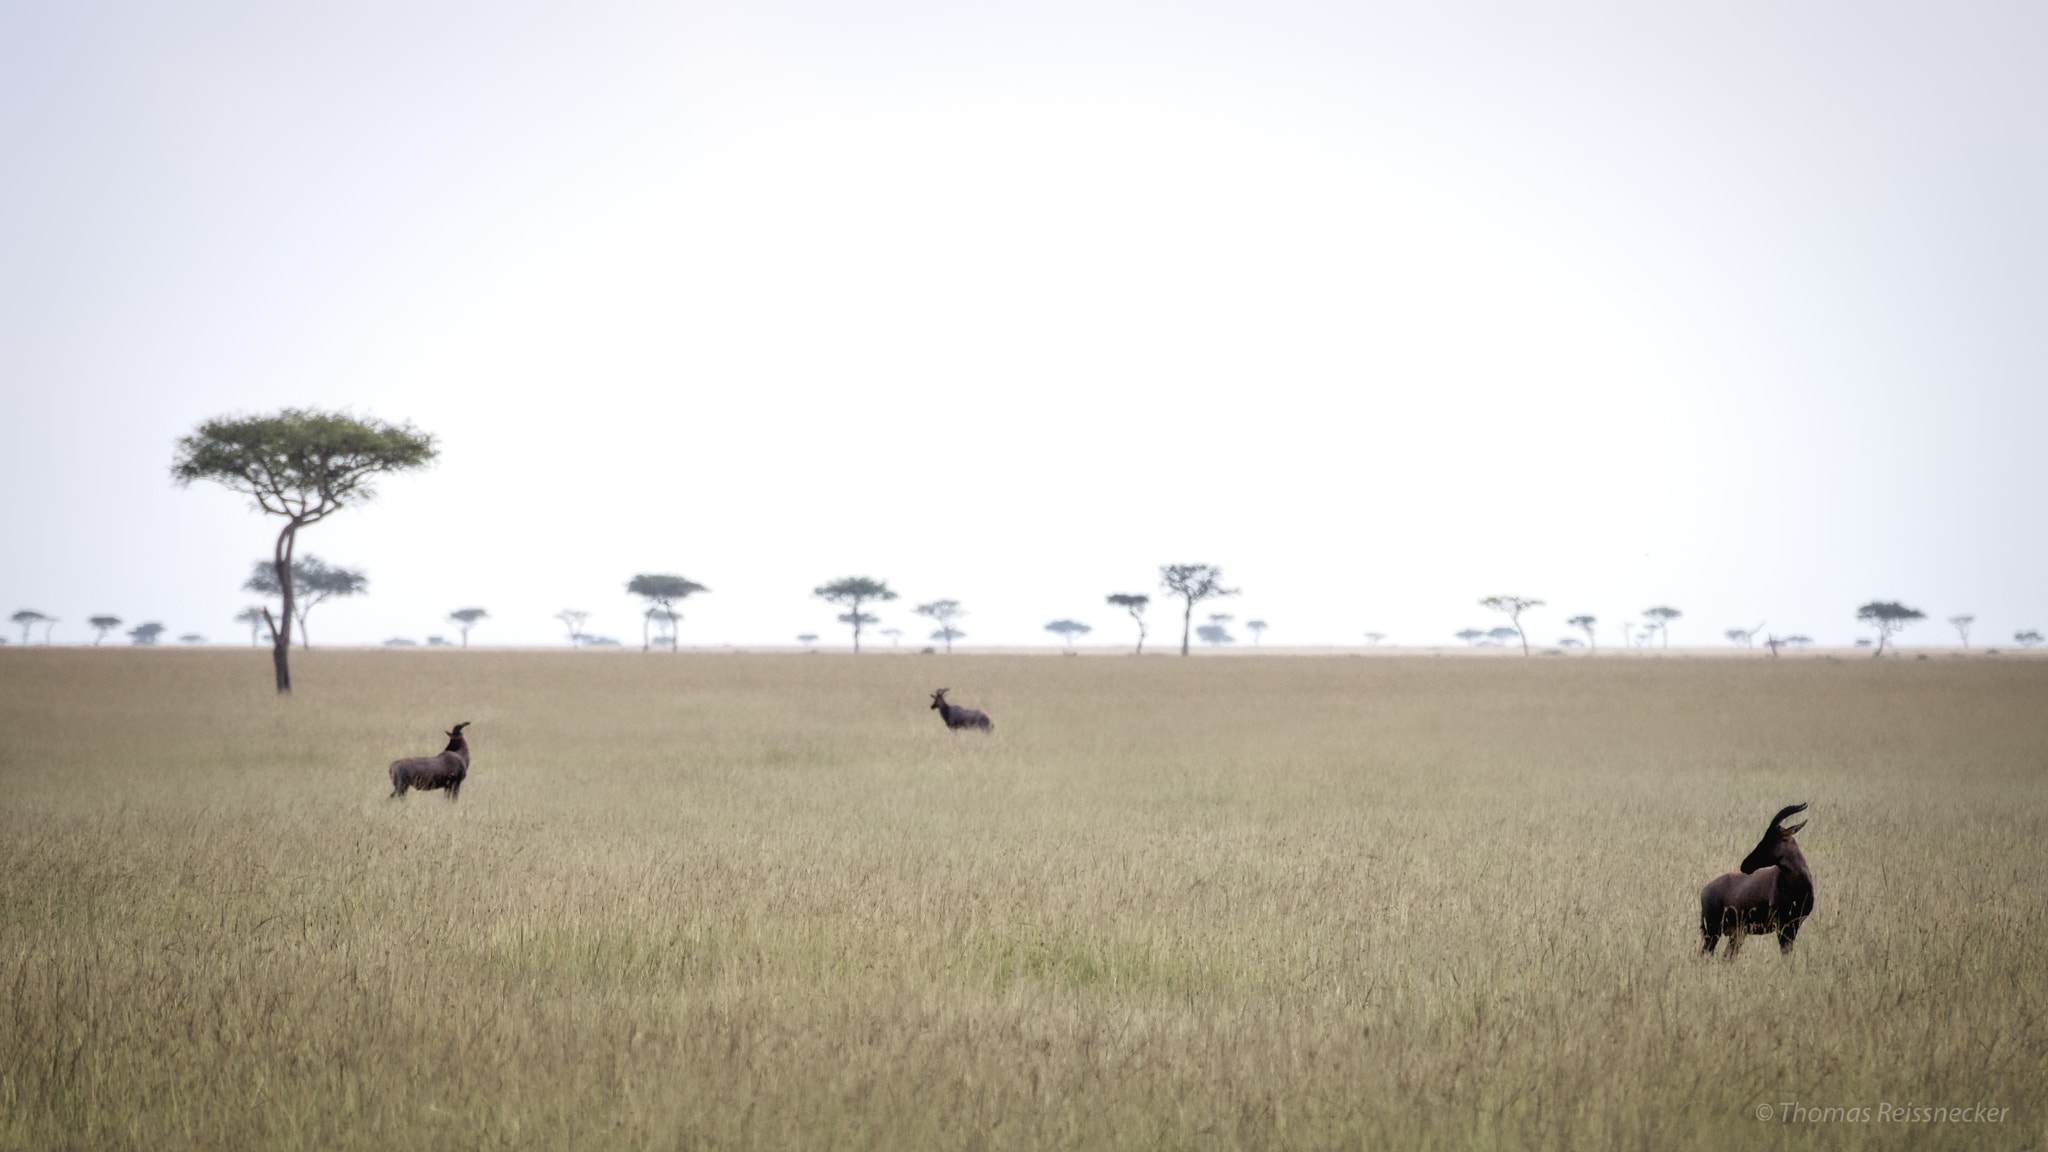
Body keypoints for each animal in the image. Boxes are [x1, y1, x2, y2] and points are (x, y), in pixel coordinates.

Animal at [1703, 799, 1818, 951]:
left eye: (1769, 839)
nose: (1745, 865)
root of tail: (1704, 890)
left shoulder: (1793, 926)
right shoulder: (1782, 927)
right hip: (1713, 932)